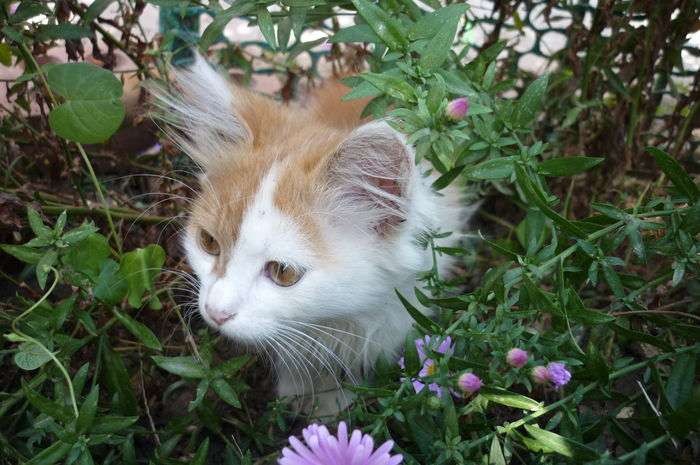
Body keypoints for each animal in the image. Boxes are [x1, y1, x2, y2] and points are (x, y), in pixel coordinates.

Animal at [150, 56, 474, 416]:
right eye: (208, 243)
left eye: (283, 272)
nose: (216, 312)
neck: (334, 321)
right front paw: (299, 387)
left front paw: (333, 397)